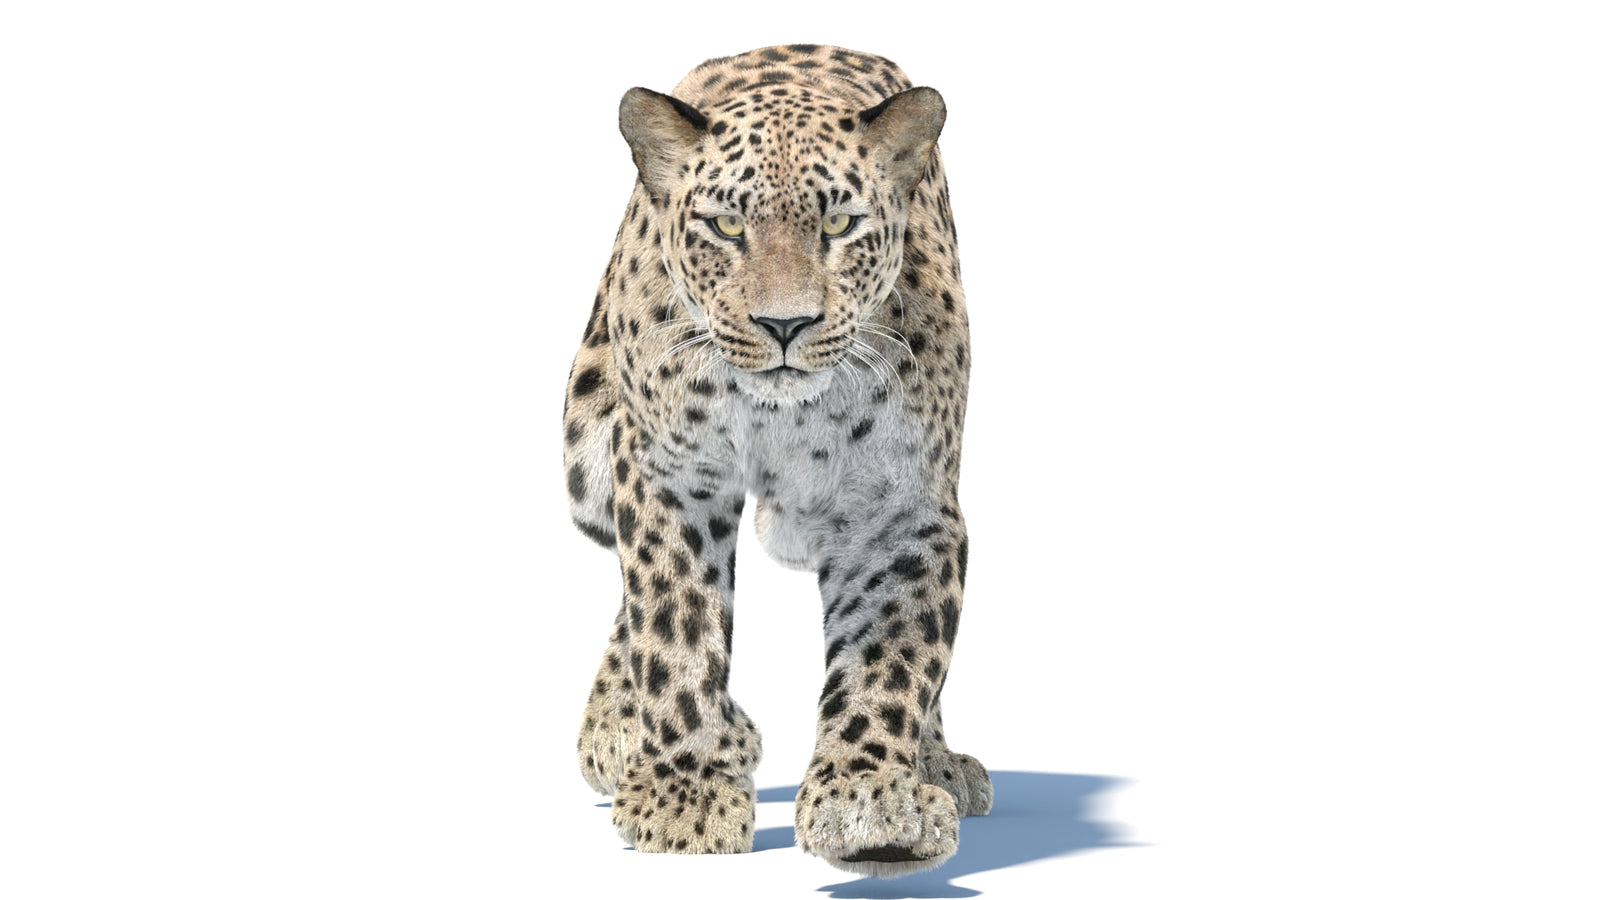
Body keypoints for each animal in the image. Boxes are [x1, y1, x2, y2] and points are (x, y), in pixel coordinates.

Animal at [562, 44, 990, 878]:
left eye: (840, 224)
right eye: (727, 225)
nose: (785, 325)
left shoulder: (905, 512)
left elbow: (894, 661)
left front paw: (871, 798)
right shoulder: (669, 475)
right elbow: (674, 622)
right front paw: (687, 789)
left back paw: (936, 762)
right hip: (587, 451)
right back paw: (625, 729)